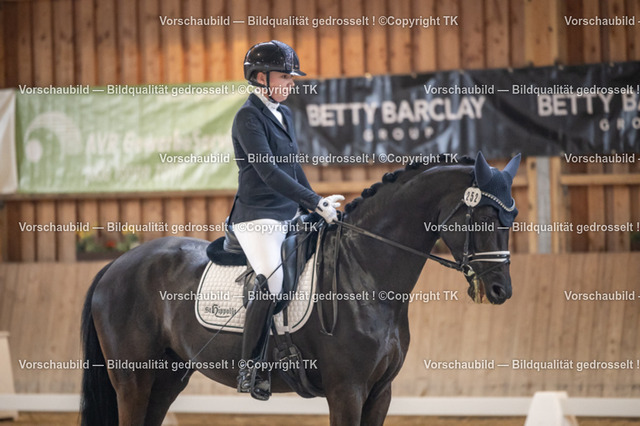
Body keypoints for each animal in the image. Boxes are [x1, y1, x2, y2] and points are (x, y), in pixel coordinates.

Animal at [80, 152, 521, 426]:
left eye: (512, 219)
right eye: (484, 216)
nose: (501, 290)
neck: (365, 272)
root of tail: (115, 265)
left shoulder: (380, 392)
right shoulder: (347, 390)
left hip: (167, 378)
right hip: (133, 380)